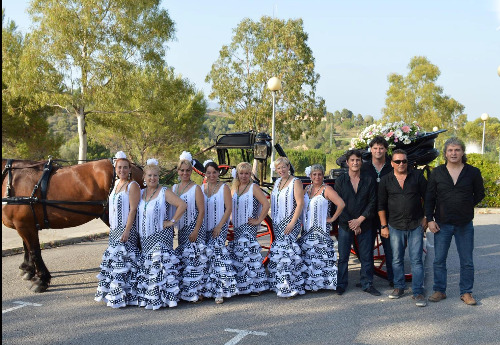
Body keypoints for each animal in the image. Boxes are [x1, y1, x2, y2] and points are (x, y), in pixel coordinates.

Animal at [1, 158, 143, 290]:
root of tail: (135, 168)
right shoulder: (24, 225)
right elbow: (27, 247)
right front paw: (27, 270)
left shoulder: (24, 225)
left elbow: (34, 251)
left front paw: (41, 280)